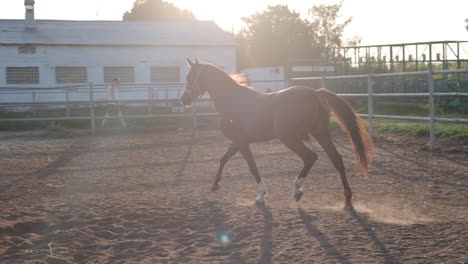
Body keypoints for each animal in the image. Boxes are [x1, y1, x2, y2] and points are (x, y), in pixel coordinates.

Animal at [179, 58, 372, 209]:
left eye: (190, 77)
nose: (183, 99)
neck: (234, 101)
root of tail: (314, 93)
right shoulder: (237, 141)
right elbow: (223, 158)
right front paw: (215, 184)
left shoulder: (242, 142)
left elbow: (252, 166)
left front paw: (261, 197)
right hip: (319, 132)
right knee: (336, 159)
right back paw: (347, 198)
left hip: (289, 137)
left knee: (311, 157)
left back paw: (297, 191)